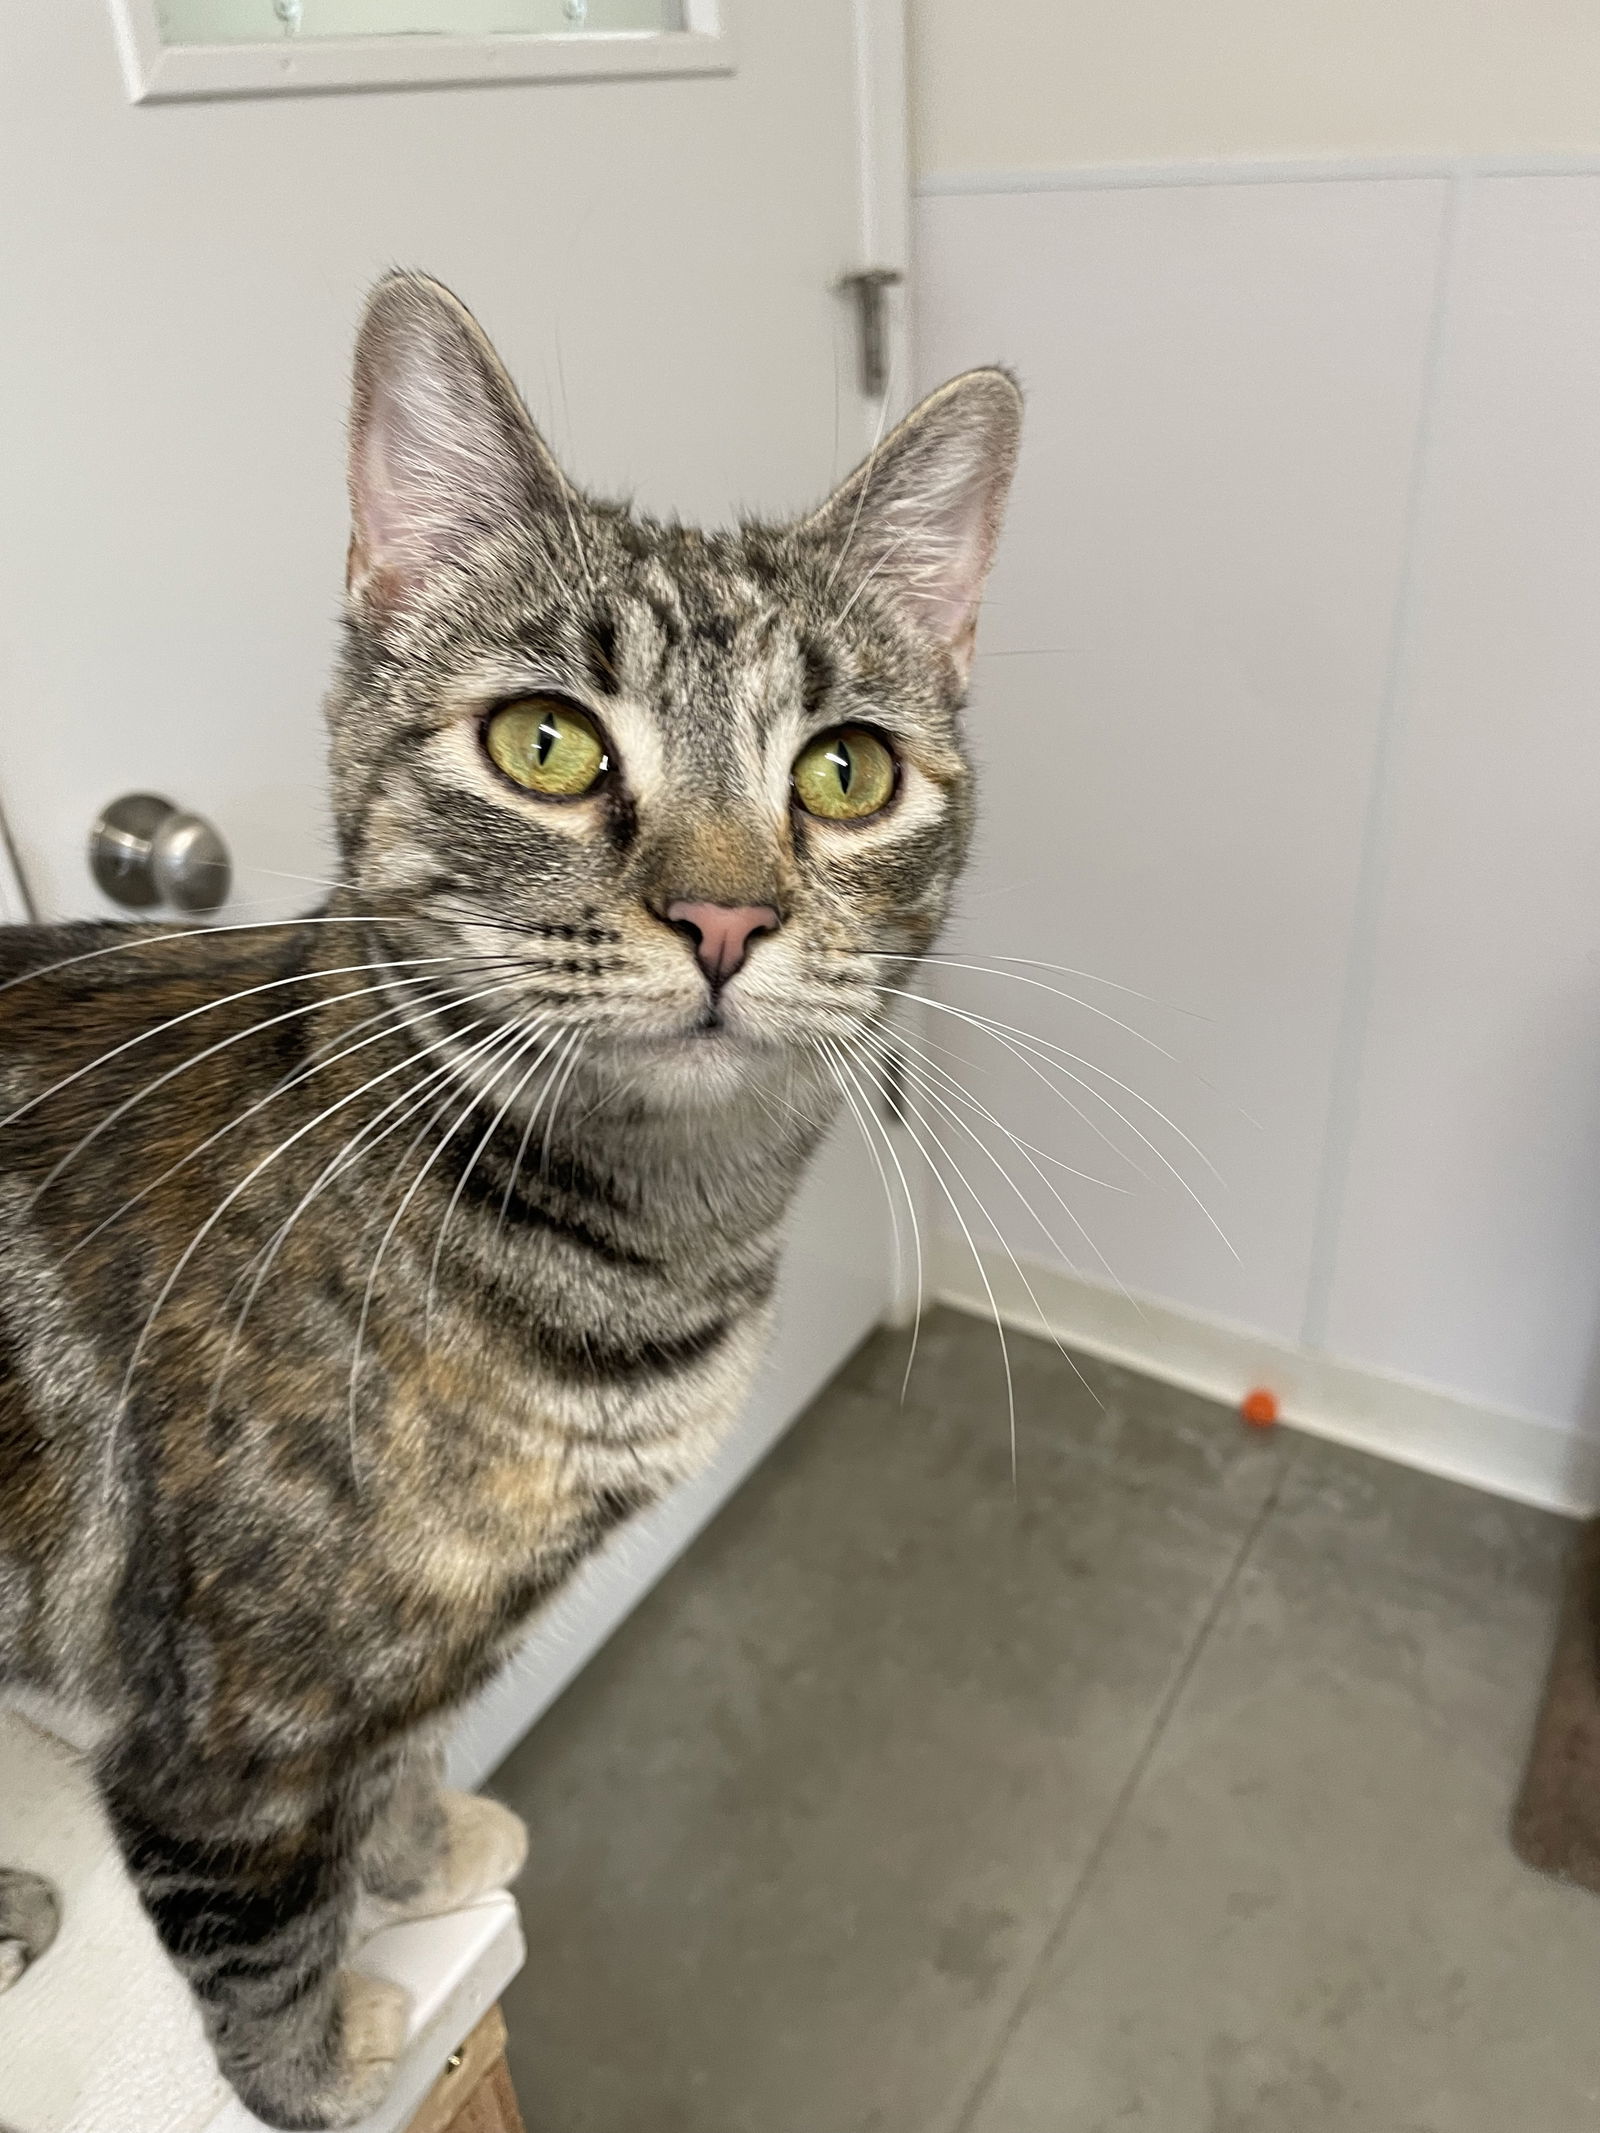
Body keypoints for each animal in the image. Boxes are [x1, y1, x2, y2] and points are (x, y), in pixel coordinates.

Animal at [0, 275, 1028, 2124]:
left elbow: (402, 1745)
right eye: (542, 742)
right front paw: (329, 2062)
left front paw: (421, 1855)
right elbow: (261, 1939)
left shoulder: (407, 1659)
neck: (643, 1265)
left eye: (846, 771)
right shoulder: (220, 1739)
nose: (723, 916)